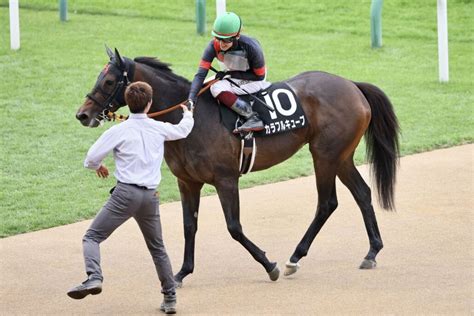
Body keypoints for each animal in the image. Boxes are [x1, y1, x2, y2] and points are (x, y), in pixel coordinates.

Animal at [75, 47, 400, 286]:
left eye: (107, 81)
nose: (82, 114)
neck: (190, 121)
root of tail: (352, 85)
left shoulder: (225, 179)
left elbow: (234, 227)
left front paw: (269, 265)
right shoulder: (187, 182)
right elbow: (189, 226)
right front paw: (182, 272)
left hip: (325, 155)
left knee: (327, 203)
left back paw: (294, 258)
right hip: (341, 157)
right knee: (362, 193)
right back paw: (372, 251)